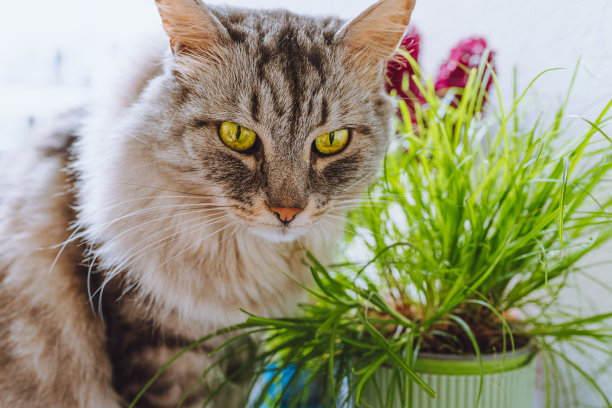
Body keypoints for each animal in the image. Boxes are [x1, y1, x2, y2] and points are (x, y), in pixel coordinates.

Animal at [0, 0, 416, 404]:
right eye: (237, 136)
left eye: (332, 142)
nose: (287, 212)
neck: (243, 264)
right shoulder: (160, 348)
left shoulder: (242, 353)